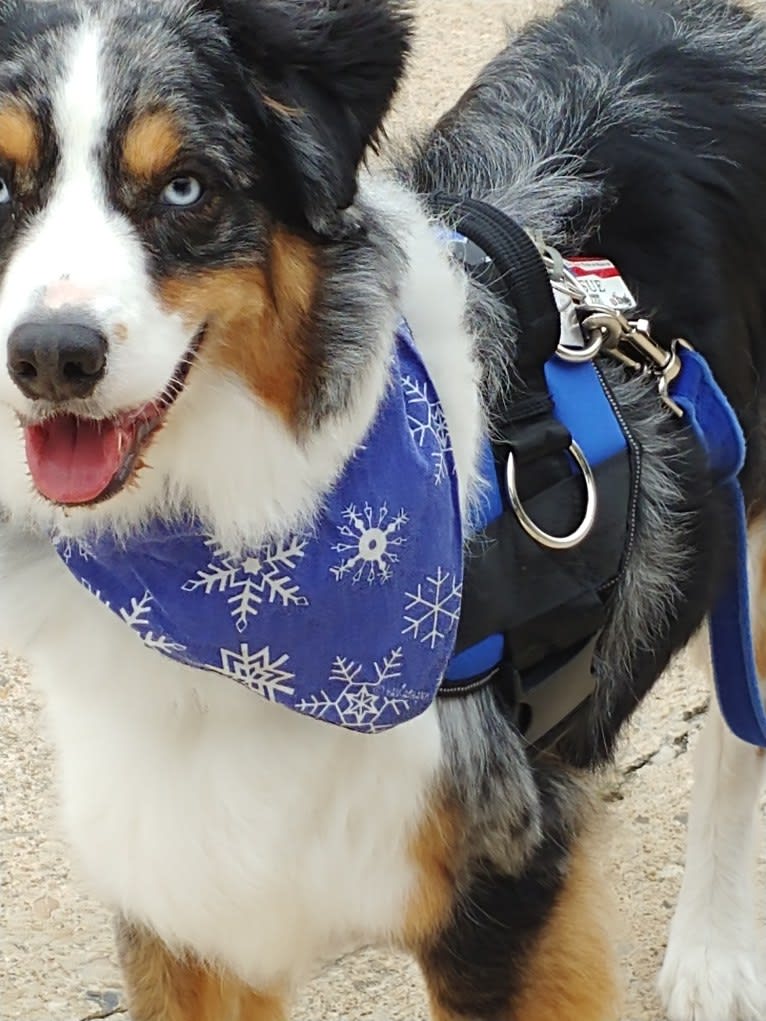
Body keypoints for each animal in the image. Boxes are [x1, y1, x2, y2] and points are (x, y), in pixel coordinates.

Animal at [4, 1, 766, 1021]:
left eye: (185, 187)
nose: (51, 356)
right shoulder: (179, 886)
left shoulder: (503, 878)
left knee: (734, 730)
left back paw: (713, 951)